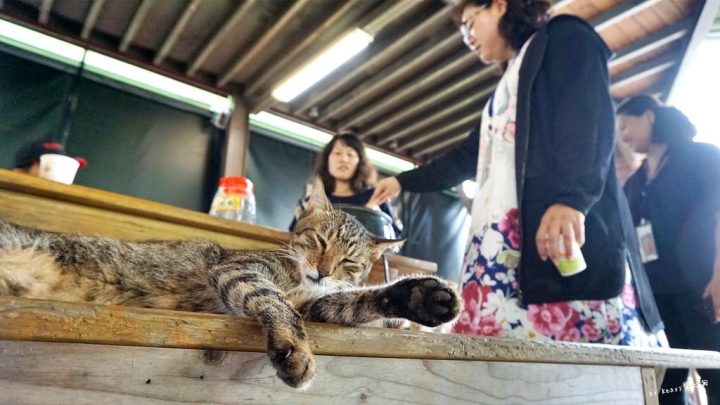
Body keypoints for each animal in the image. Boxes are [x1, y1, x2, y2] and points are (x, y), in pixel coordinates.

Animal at [0, 177, 462, 388]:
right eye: (319, 240)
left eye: (349, 262)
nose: (324, 270)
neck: (302, 277)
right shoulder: (241, 270)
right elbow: (275, 303)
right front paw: (294, 350)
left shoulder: (317, 303)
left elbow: (358, 300)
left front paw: (420, 300)